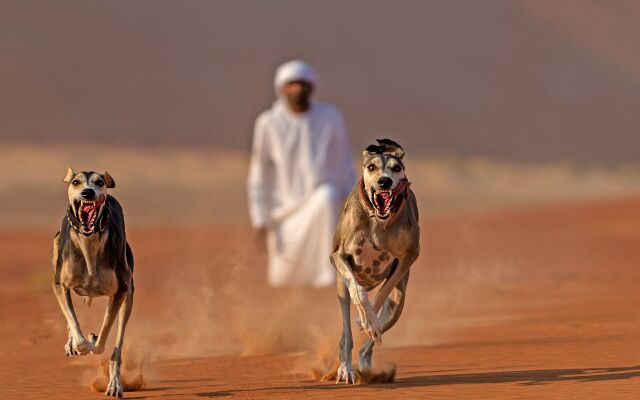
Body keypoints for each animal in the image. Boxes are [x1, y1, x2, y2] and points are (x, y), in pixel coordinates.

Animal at [51, 168, 135, 396]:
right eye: (76, 182)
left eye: (99, 182)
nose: (87, 192)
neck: (89, 244)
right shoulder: (59, 285)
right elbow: (72, 320)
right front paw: (77, 344)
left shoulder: (119, 292)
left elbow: (102, 340)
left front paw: (93, 340)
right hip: (55, 245)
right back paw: (72, 343)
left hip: (128, 294)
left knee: (117, 347)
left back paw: (114, 384)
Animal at [330, 139, 420, 382]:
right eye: (372, 167)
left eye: (396, 168)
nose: (384, 181)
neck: (377, 222)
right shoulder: (338, 255)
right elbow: (359, 292)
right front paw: (365, 318)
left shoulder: (410, 255)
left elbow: (381, 294)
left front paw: (368, 321)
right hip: (341, 290)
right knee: (346, 333)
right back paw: (346, 369)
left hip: (397, 305)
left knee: (370, 339)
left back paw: (365, 361)